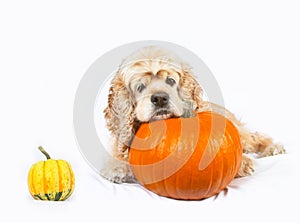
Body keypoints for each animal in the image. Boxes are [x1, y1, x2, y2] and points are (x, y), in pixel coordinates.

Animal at [99, 46, 284, 184]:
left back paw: (274, 147)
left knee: (256, 137)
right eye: (140, 87)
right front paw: (118, 168)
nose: (160, 99)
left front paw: (244, 164)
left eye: (171, 81)